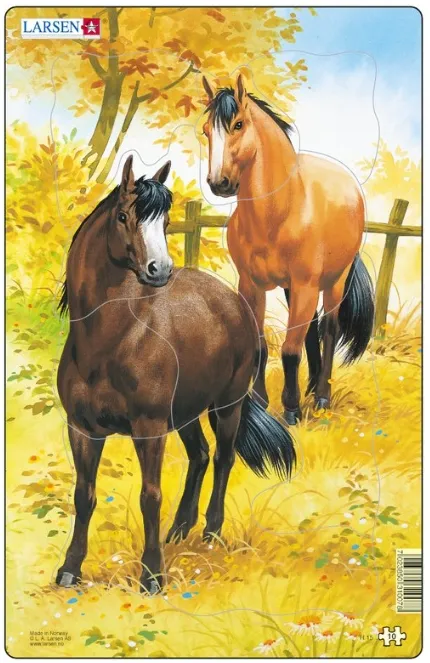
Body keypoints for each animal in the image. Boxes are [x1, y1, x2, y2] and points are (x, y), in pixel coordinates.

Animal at [56, 154, 296, 593]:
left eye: (165, 222)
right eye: (123, 216)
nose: (159, 269)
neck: (108, 342)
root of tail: (235, 302)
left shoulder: (149, 428)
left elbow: (150, 496)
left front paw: (152, 575)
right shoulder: (81, 428)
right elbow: (84, 495)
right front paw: (70, 569)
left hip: (226, 406)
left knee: (222, 458)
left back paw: (211, 532)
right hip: (185, 412)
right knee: (199, 455)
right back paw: (180, 530)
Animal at [202, 75, 374, 425]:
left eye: (238, 124)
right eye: (205, 130)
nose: (219, 183)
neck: (279, 212)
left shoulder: (306, 285)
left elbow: (290, 350)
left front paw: (291, 410)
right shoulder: (251, 286)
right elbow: (260, 346)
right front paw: (260, 401)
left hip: (333, 283)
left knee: (328, 330)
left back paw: (321, 397)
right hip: (292, 289)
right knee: (311, 331)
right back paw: (311, 388)